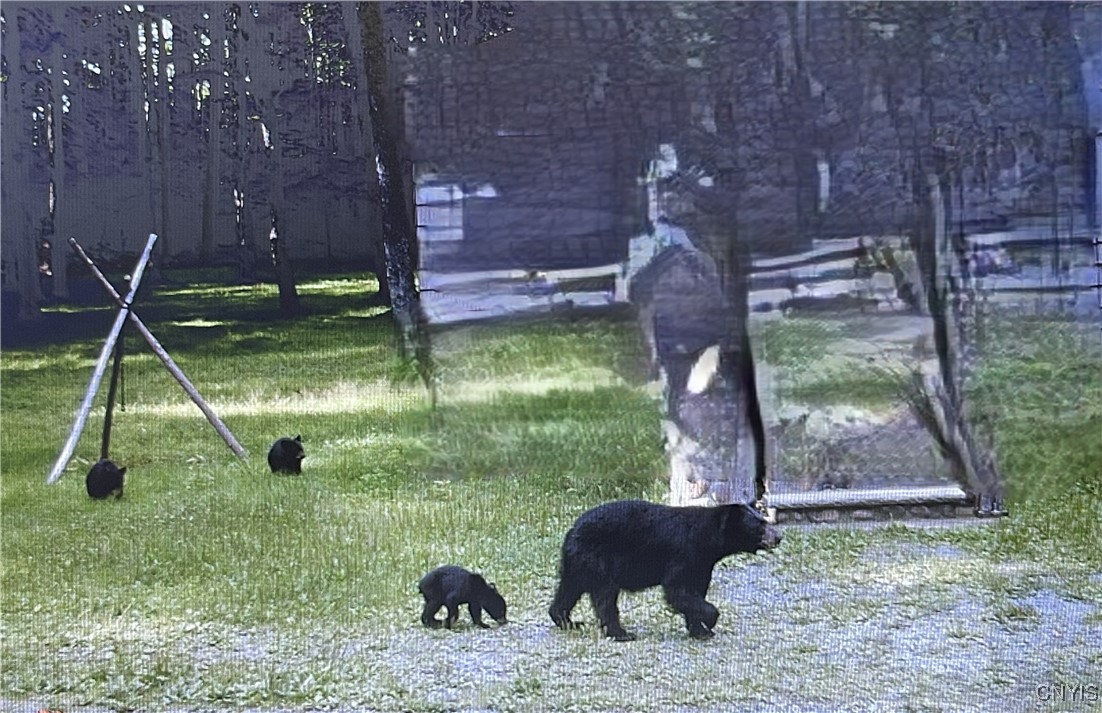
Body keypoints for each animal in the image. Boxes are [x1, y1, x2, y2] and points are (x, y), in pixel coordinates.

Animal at [548, 499, 781, 641]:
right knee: (604, 595)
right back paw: (621, 633)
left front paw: (699, 630)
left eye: (765, 520)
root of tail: (571, 530)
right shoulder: (683, 554)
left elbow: (694, 592)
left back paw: (567, 621)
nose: (778, 537)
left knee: (569, 589)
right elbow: (677, 590)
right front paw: (710, 620)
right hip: (597, 557)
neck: (708, 539)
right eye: (759, 525)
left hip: (577, 561)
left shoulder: (701, 565)